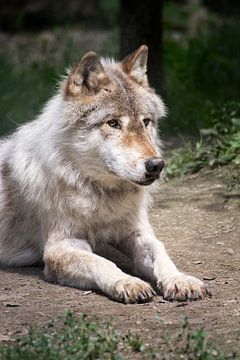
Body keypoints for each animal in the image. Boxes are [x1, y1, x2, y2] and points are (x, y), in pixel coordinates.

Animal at [0, 45, 210, 304]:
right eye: (113, 123)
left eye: (146, 122)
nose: (156, 165)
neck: (101, 194)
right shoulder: (63, 246)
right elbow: (102, 263)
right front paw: (128, 282)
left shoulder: (137, 232)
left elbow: (161, 253)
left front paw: (180, 280)